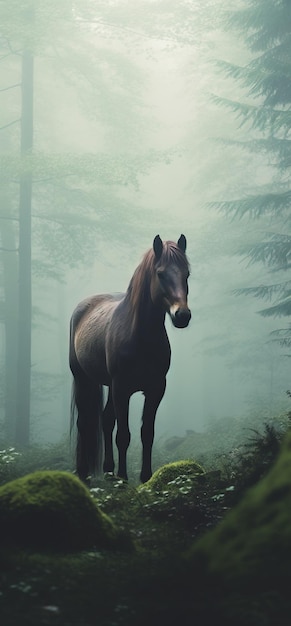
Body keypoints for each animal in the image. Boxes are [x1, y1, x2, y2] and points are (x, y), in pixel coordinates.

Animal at [69, 234, 192, 482]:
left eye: (187, 274)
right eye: (160, 273)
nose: (182, 315)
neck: (140, 336)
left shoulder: (156, 389)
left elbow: (147, 433)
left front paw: (145, 477)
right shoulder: (121, 388)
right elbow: (124, 435)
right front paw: (123, 478)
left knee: (106, 420)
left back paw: (108, 469)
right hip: (83, 379)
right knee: (84, 423)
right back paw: (84, 473)